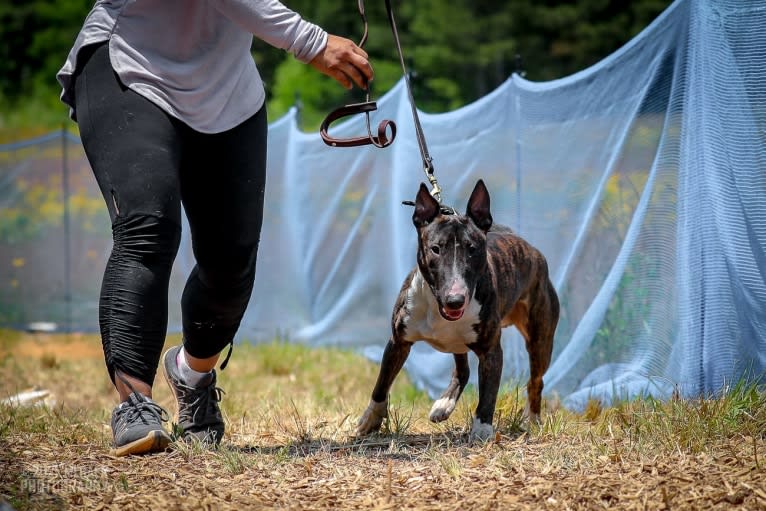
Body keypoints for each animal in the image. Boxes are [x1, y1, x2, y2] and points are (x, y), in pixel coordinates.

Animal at [356, 181, 560, 444]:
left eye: (472, 249)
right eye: (435, 249)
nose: (455, 300)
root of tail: (531, 249)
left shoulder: (491, 351)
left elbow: (488, 395)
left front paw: (482, 430)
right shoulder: (398, 341)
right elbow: (382, 383)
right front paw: (370, 419)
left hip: (540, 338)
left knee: (536, 381)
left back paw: (532, 419)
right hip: (457, 343)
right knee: (462, 370)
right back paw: (444, 404)